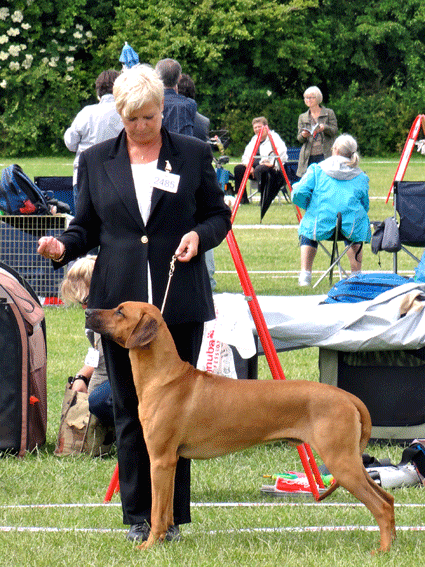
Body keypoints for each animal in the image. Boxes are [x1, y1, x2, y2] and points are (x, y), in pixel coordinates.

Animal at [84, 304, 396, 552]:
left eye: (120, 311)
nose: (87, 311)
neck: (165, 377)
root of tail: (347, 396)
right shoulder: (171, 461)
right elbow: (167, 509)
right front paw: (163, 541)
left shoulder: (160, 460)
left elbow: (158, 512)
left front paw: (149, 545)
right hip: (349, 462)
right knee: (388, 499)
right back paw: (391, 543)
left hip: (340, 461)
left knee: (380, 504)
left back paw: (382, 550)